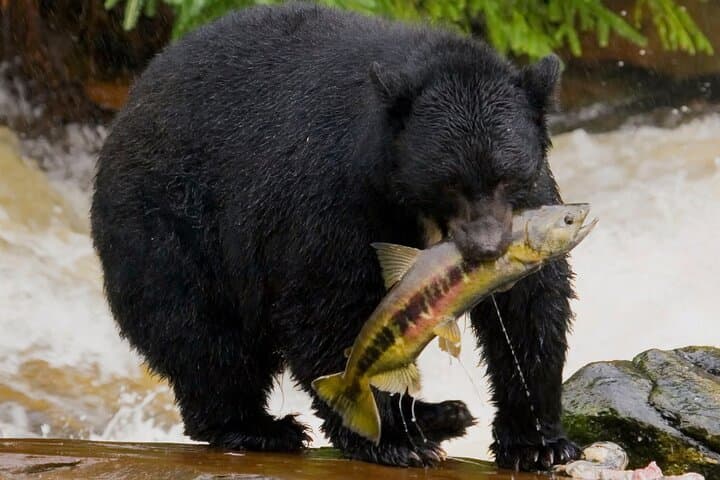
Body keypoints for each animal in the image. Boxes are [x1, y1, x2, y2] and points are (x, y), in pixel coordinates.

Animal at [90, 3, 580, 470]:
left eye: (506, 177)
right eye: (449, 183)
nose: (486, 247)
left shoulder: (531, 199)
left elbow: (531, 307)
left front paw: (537, 442)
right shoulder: (337, 193)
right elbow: (327, 304)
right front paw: (392, 440)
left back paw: (439, 415)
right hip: (171, 225)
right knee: (200, 333)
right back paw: (258, 427)